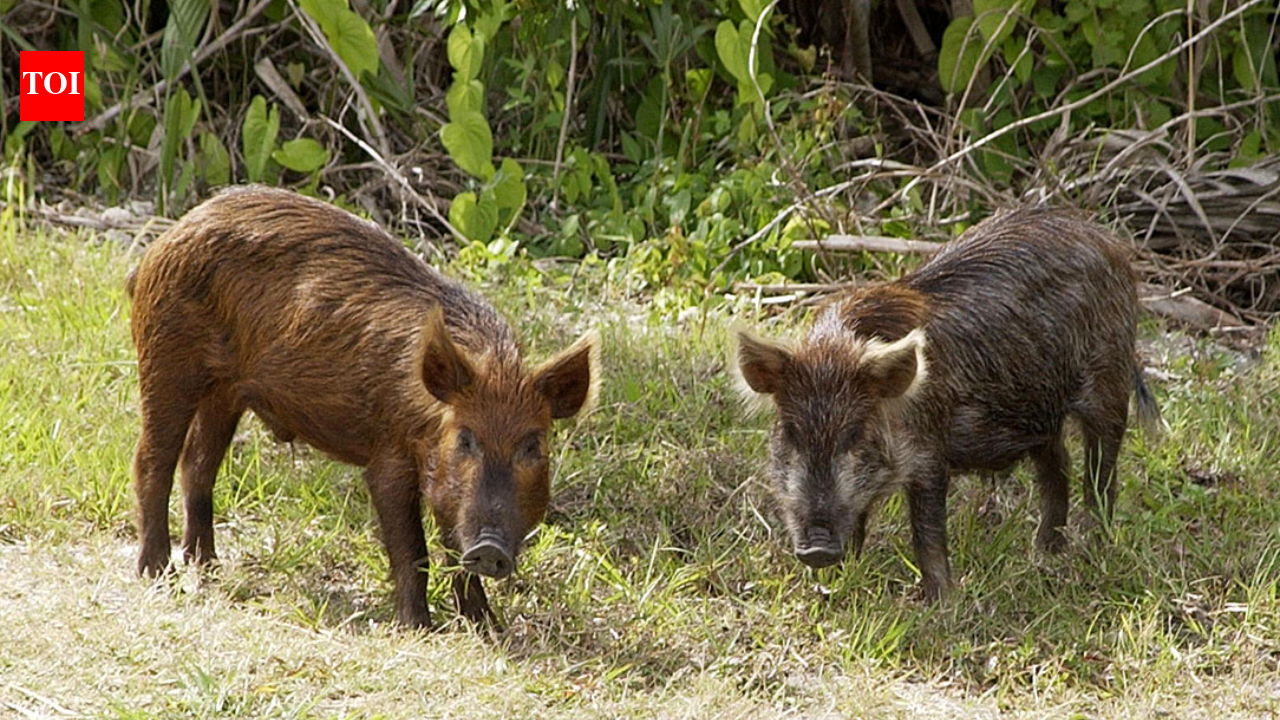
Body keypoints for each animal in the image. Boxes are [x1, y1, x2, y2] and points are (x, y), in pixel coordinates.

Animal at [126, 186, 599, 627]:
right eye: (465, 439)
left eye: (533, 446)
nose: (490, 548)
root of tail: (166, 238)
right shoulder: (388, 457)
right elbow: (412, 548)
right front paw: (418, 628)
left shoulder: (445, 485)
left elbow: (452, 549)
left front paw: (488, 628)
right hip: (167, 357)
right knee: (152, 459)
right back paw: (158, 573)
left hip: (225, 392)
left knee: (198, 464)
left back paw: (207, 565)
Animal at [734, 208, 1159, 599]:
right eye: (791, 432)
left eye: (855, 434)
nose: (817, 549)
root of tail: (1110, 243)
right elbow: (858, 521)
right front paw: (834, 585)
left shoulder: (928, 456)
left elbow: (927, 532)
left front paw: (940, 603)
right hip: (1040, 415)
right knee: (1058, 468)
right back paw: (1045, 553)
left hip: (1108, 385)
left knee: (1101, 476)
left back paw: (1093, 549)